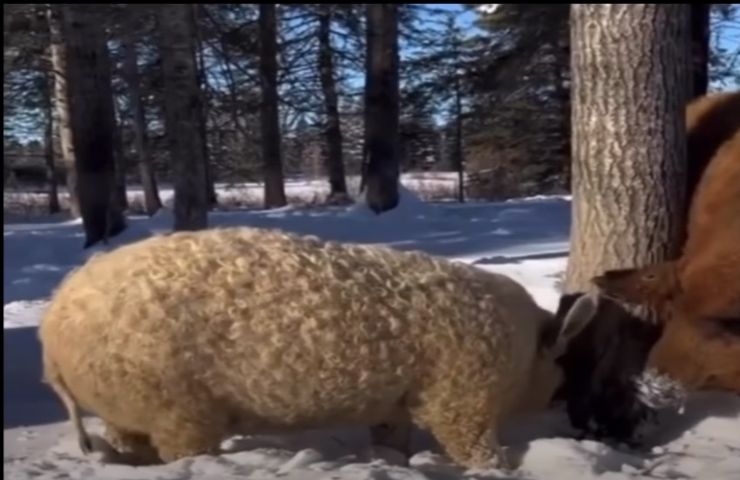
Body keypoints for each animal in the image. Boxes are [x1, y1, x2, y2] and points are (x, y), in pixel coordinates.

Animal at [39, 227, 596, 470]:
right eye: (565, 365)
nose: (571, 412)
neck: (524, 352)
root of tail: (51, 327)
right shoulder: (463, 397)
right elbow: (475, 449)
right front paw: (497, 468)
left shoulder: (398, 401)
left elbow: (392, 441)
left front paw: (391, 463)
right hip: (176, 404)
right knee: (180, 453)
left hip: (129, 404)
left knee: (131, 445)